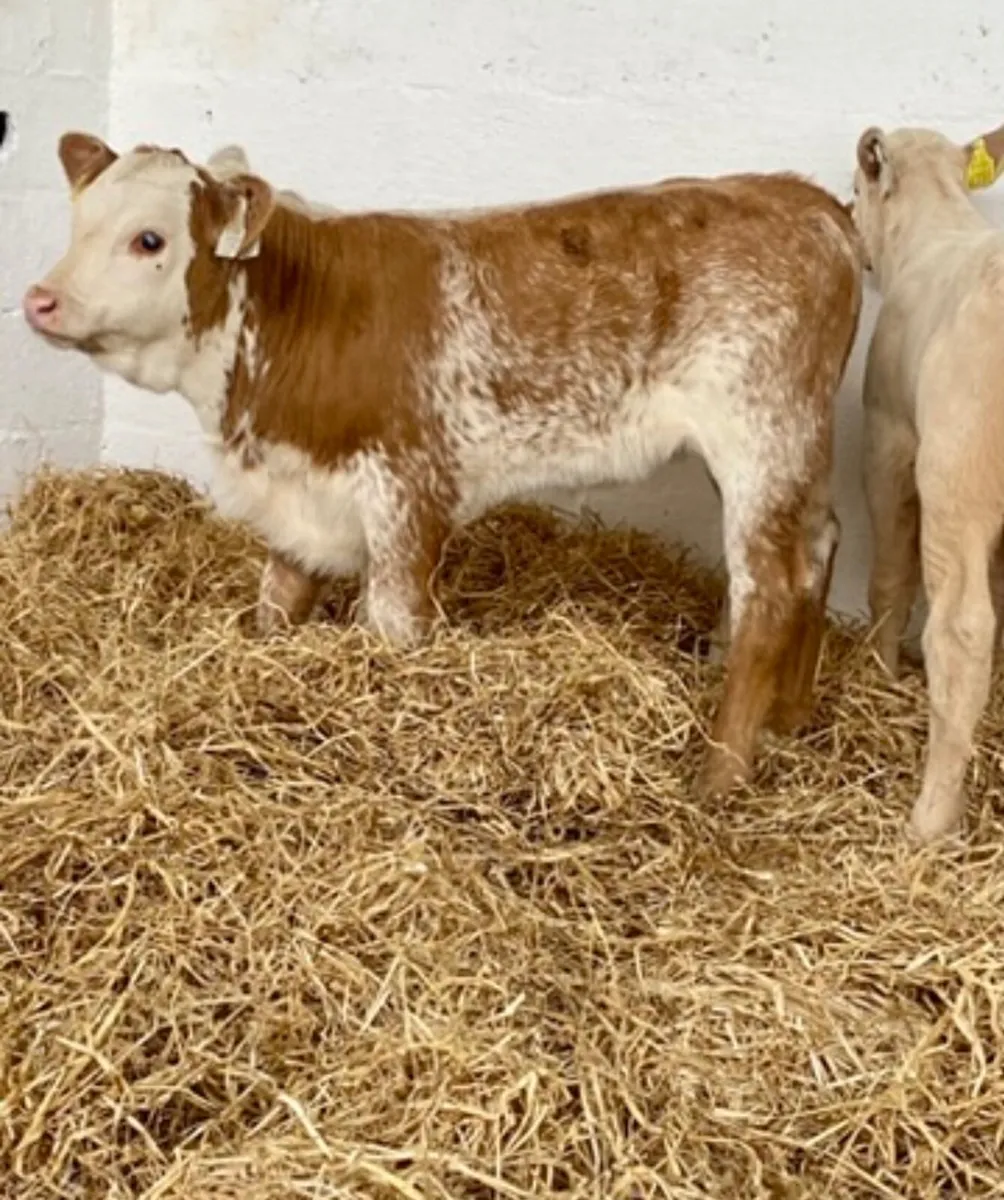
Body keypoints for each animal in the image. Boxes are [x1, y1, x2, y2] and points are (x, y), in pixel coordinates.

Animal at [23, 131, 862, 798]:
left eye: (150, 240)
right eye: (80, 223)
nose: (41, 300)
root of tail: (804, 197)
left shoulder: (407, 490)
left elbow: (394, 623)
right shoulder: (301, 496)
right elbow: (276, 603)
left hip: (760, 435)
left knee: (770, 588)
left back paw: (720, 774)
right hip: (791, 448)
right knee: (819, 543)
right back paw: (791, 718)